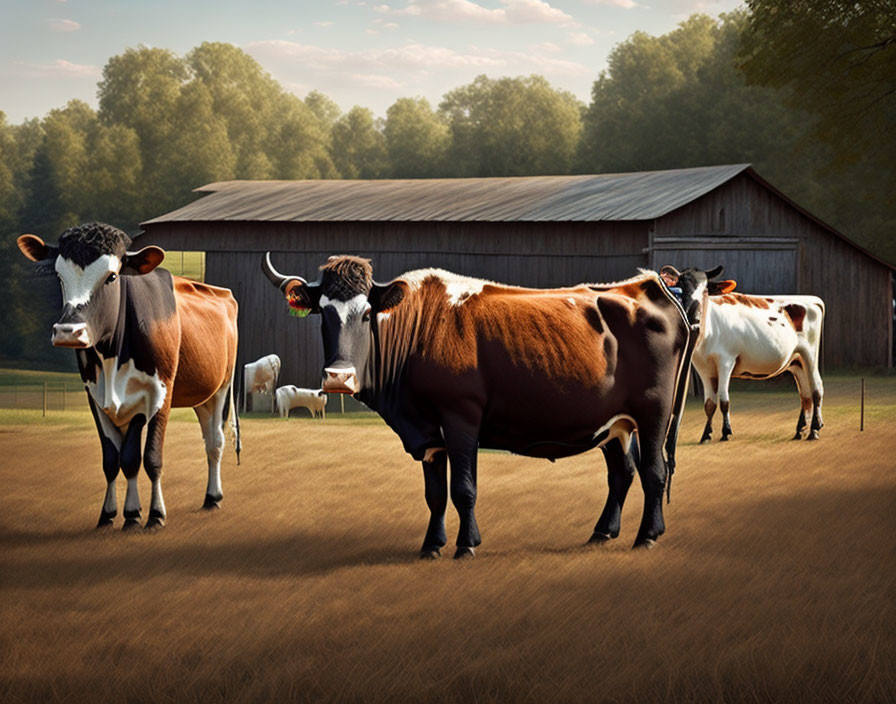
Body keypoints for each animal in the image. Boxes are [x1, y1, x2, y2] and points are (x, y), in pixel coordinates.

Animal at [18, 223, 242, 532]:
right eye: (60, 277)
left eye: (112, 277)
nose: (68, 332)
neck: (114, 354)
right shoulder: (97, 397)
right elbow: (117, 459)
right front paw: (118, 514)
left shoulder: (159, 394)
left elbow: (149, 458)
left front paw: (155, 515)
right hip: (201, 397)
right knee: (206, 439)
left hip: (222, 388)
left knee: (215, 443)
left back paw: (213, 498)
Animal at [262, 256, 696, 560]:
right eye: (323, 314)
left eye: (367, 313)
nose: (339, 378)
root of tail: (645, 285)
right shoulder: (427, 432)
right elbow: (435, 494)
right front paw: (431, 545)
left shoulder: (461, 419)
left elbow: (463, 489)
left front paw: (466, 544)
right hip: (615, 425)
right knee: (622, 473)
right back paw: (602, 532)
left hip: (654, 413)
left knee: (654, 473)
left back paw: (647, 537)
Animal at [656, 266, 824, 442]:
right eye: (681, 287)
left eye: (706, 290)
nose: (693, 313)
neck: (708, 333)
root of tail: (812, 299)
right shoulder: (703, 368)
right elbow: (709, 404)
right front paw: (706, 434)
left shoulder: (726, 361)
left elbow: (724, 400)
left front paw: (725, 431)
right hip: (797, 361)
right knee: (805, 394)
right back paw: (800, 430)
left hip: (810, 355)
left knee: (816, 388)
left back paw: (814, 429)